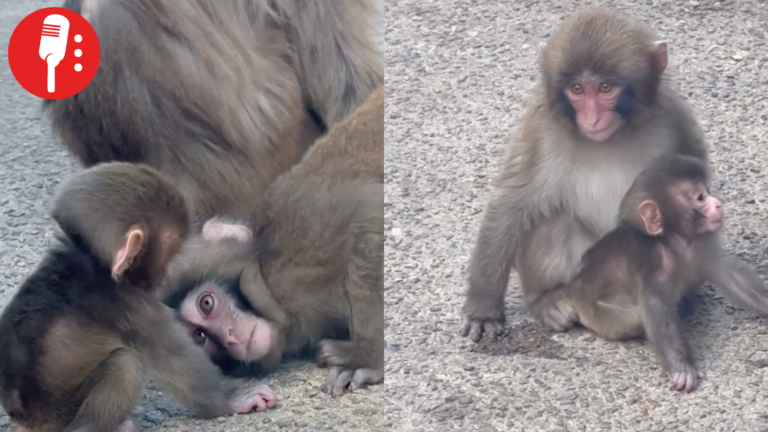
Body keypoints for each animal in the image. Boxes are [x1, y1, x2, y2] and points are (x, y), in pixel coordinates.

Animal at [0, 163, 276, 432]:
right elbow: (177, 364)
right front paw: (233, 399)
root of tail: (26, 421)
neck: (91, 261)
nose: (164, 278)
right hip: (61, 412)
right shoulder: (132, 304)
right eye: (170, 254)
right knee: (125, 364)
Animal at [161, 87, 384, 398]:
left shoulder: (302, 238)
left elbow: (369, 216)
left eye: (206, 304)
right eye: (199, 336)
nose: (230, 338)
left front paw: (367, 354)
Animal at [459, 8, 712, 342]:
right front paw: (483, 309)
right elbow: (511, 202)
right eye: (576, 89)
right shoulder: (540, 127)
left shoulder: (674, 117)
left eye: (605, 88)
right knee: (553, 220)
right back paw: (547, 299)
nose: (592, 118)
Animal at [559, 154, 768, 393]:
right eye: (700, 197)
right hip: (597, 315)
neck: (674, 242)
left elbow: (734, 277)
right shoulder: (651, 260)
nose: (718, 203)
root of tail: (574, 286)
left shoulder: (701, 248)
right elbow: (655, 306)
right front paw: (681, 369)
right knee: (635, 317)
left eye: (707, 191)